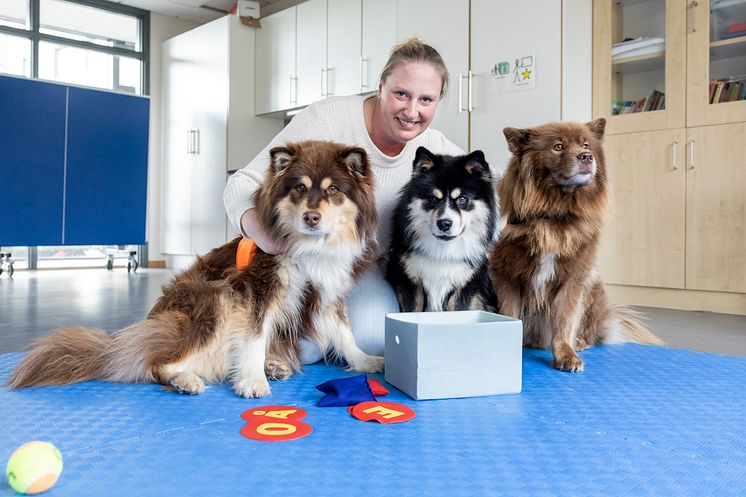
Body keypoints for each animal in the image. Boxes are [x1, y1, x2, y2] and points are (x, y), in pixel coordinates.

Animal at [10, 140, 384, 396]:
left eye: (333, 189)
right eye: (299, 188)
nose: (311, 217)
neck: (310, 249)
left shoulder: (326, 294)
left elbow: (345, 334)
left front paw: (366, 361)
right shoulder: (254, 290)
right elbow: (253, 337)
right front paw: (252, 380)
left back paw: (272, 365)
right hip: (214, 300)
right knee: (156, 363)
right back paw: (185, 378)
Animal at [384, 145, 500, 312]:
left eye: (462, 199)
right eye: (433, 199)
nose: (444, 223)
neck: (443, 252)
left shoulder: (467, 283)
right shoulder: (408, 279)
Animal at [492, 118, 660, 370]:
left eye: (586, 145)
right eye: (558, 146)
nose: (586, 157)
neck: (554, 213)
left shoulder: (573, 278)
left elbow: (564, 320)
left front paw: (566, 355)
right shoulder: (507, 276)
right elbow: (510, 313)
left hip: (594, 288)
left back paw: (579, 342)